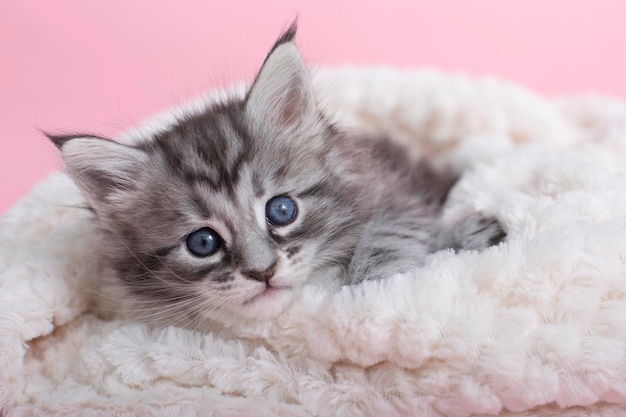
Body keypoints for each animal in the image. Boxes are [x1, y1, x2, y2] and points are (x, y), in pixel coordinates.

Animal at [50, 23, 502, 328]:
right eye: (202, 242)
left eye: (282, 211)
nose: (262, 272)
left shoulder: (398, 191)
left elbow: (392, 229)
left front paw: (376, 282)